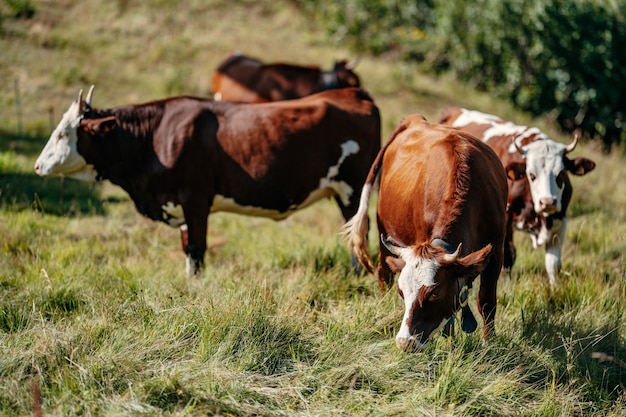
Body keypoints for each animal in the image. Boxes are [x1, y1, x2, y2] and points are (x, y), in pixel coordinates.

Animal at [35, 86, 380, 274]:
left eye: (63, 133)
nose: (38, 166)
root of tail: (352, 92)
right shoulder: (178, 203)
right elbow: (187, 248)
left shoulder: (195, 199)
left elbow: (196, 249)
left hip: (353, 191)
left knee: (358, 237)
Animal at [342, 113, 508, 348]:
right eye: (402, 291)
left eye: (434, 292)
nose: (405, 342)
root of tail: (415, 120)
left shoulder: (496, 251)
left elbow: (486, 302)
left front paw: (488, 343)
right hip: (384, 233)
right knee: (384, 273)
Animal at [438, 105, 596, 290]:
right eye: (531, 175)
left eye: (561, 174)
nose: (548, 202)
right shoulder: (506, 218)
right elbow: (509, 254)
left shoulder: (561, 220)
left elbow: (554, 263)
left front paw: (555, 288)